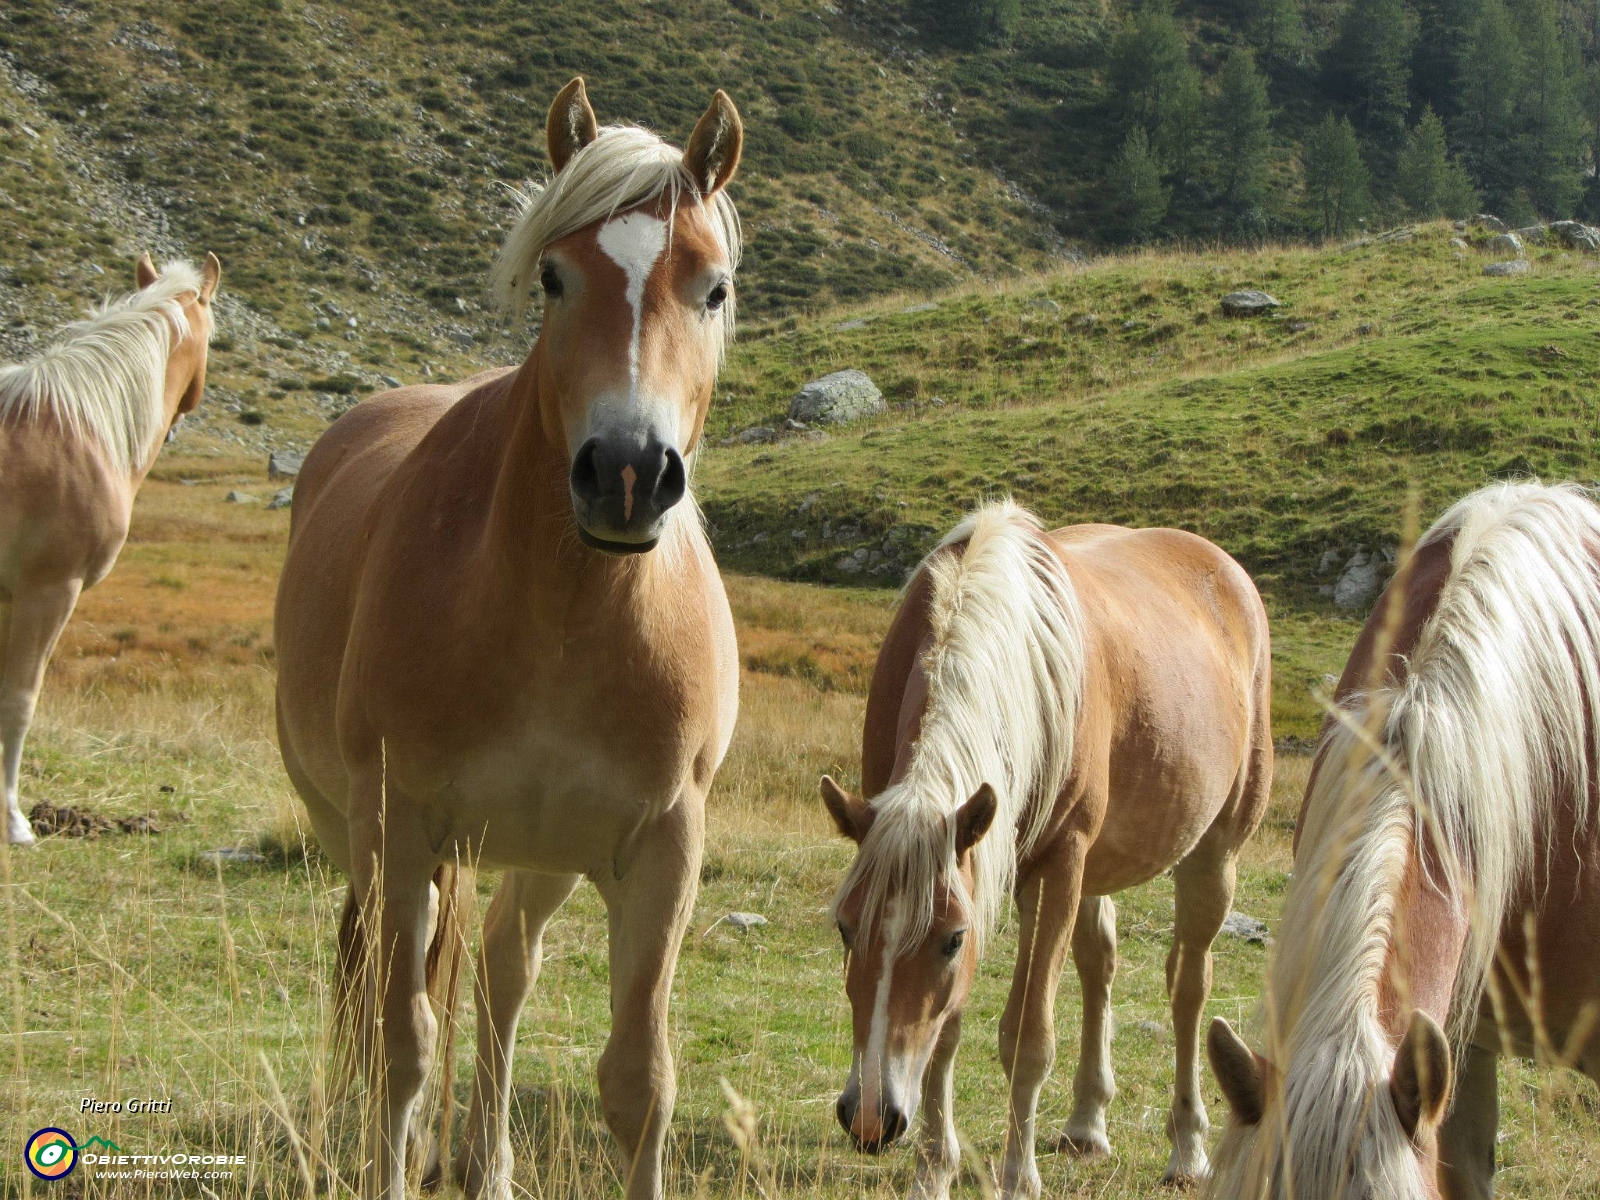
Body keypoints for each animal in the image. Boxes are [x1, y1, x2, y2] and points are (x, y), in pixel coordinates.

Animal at [273, 77, 742, 1200]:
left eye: (712, 288)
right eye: (554, 277)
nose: (626, 470)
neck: (559, 619)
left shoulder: (662, 848)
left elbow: (640, 1081)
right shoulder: (400, 826)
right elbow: (404, 1044)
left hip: (545, 854)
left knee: (500, 967)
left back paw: (485, 1163)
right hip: (354, 831)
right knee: (385, 989)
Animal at [819, 502, 1267, 1196]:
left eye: (951, 939)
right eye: (845, 928)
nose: (870, 1116)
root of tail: (1226, 571)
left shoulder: (1056, 867)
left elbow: (1028, 1036)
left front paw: (1016, 1172)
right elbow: (946, 1030)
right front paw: (933, 1166)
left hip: (1210, 858)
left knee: (1188, 986)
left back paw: (1188, 1147)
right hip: (1097, 874)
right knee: (1099, 964)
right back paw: (1086, 1125)